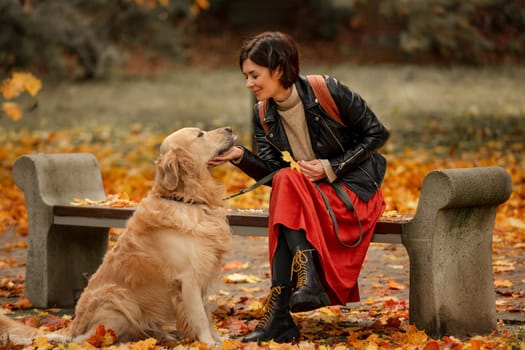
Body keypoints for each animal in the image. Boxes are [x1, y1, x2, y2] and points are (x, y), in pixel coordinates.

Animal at [0, 127, 233, 346]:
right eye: (200, 135)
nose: (229, 129)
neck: (186, 199)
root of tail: (73, 325)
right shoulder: (188, 277)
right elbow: (200, 317)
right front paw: (209, 343)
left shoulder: (202, 275)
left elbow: (208, 315)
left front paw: (219, 340)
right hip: (118, 298)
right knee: (87, 339)